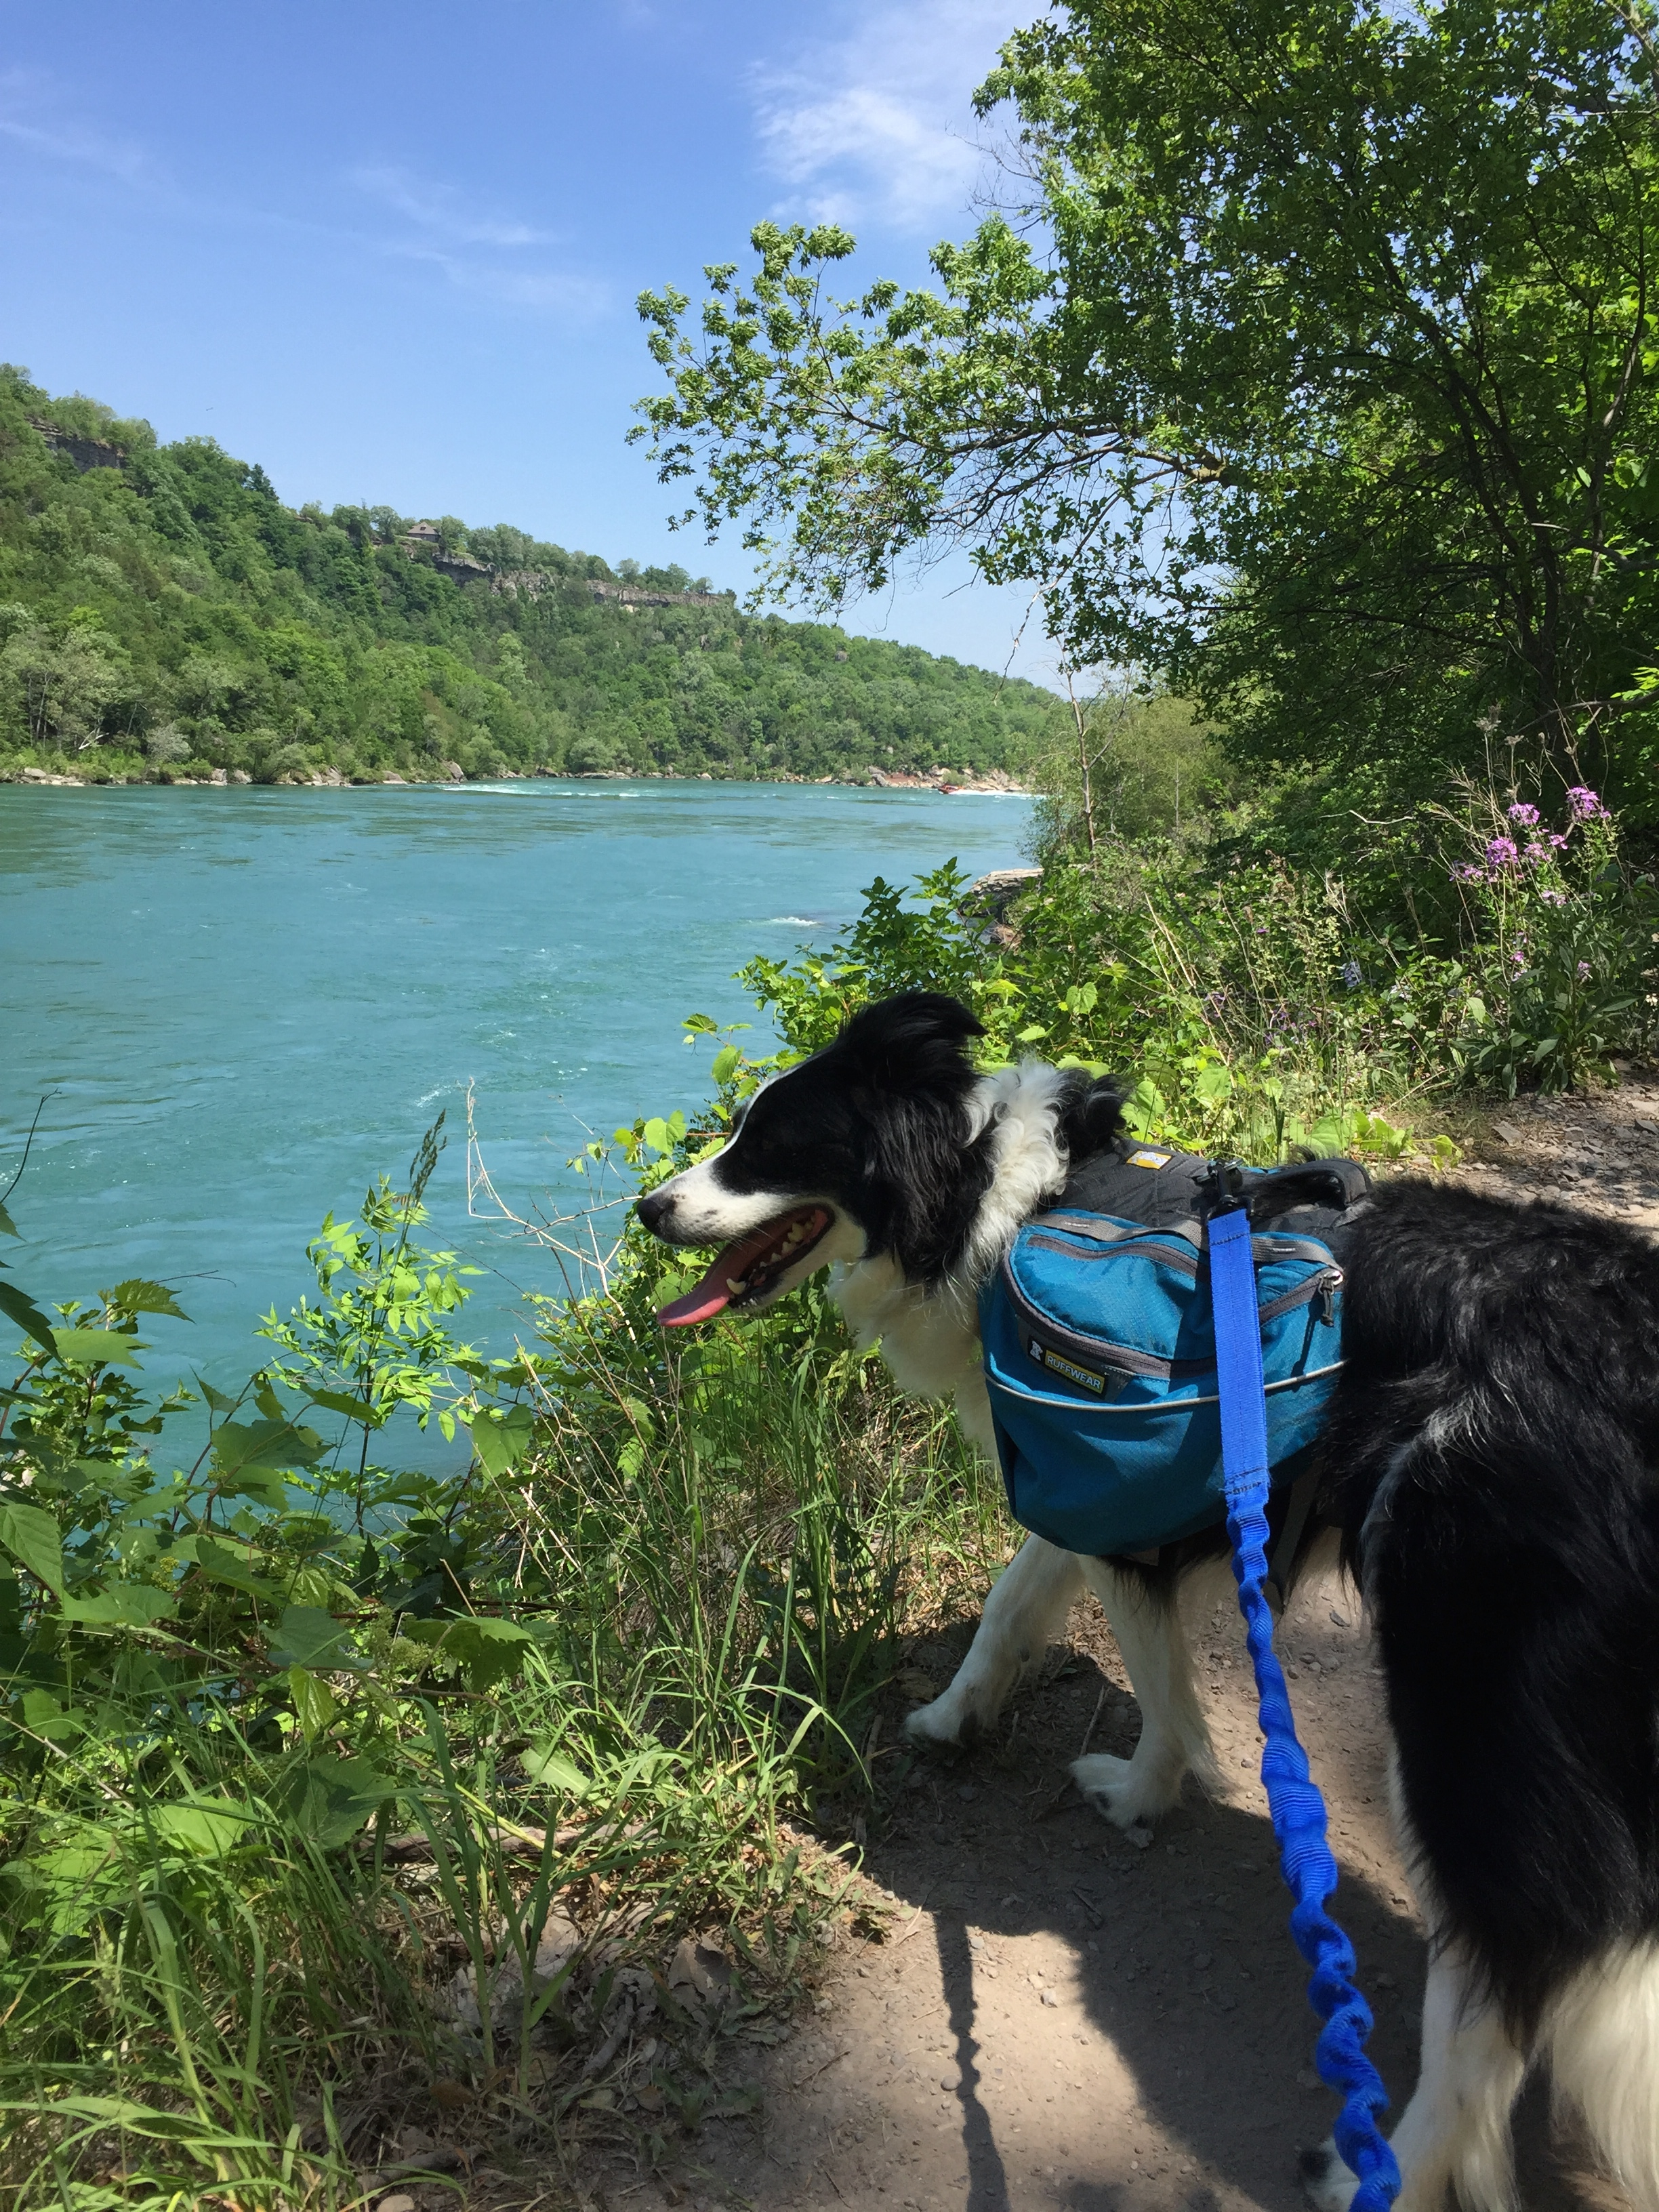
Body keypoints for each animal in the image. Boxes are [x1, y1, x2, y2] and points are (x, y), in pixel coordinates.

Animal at [632, 991, 1659, 2212]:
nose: (647, 1208)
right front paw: (952, 1717)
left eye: (769, 1143)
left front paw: (1138, 1792)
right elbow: (1009, 1603)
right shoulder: (1074, 1484)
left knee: (1492, 1998)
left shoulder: (1118, 1503)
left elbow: (1157, 1686)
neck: (994, 1197)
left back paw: (1378, 2169)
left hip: (1465, 1712)